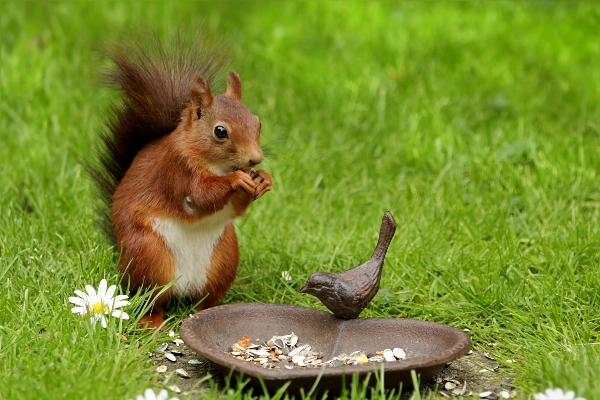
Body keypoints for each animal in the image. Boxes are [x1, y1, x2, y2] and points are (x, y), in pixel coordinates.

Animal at [91, 34, 272, 328]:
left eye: (258, 123)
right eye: (220, 131)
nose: (255, 159)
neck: (216, 165)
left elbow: (235, 209)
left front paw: (264, 179)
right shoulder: (176, 170)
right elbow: (200, 196)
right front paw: (237, 179)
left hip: (223, 259)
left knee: (203, 299)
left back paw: (208, 312)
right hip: (149, 256)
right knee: (150, 299)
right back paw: (152, 323)